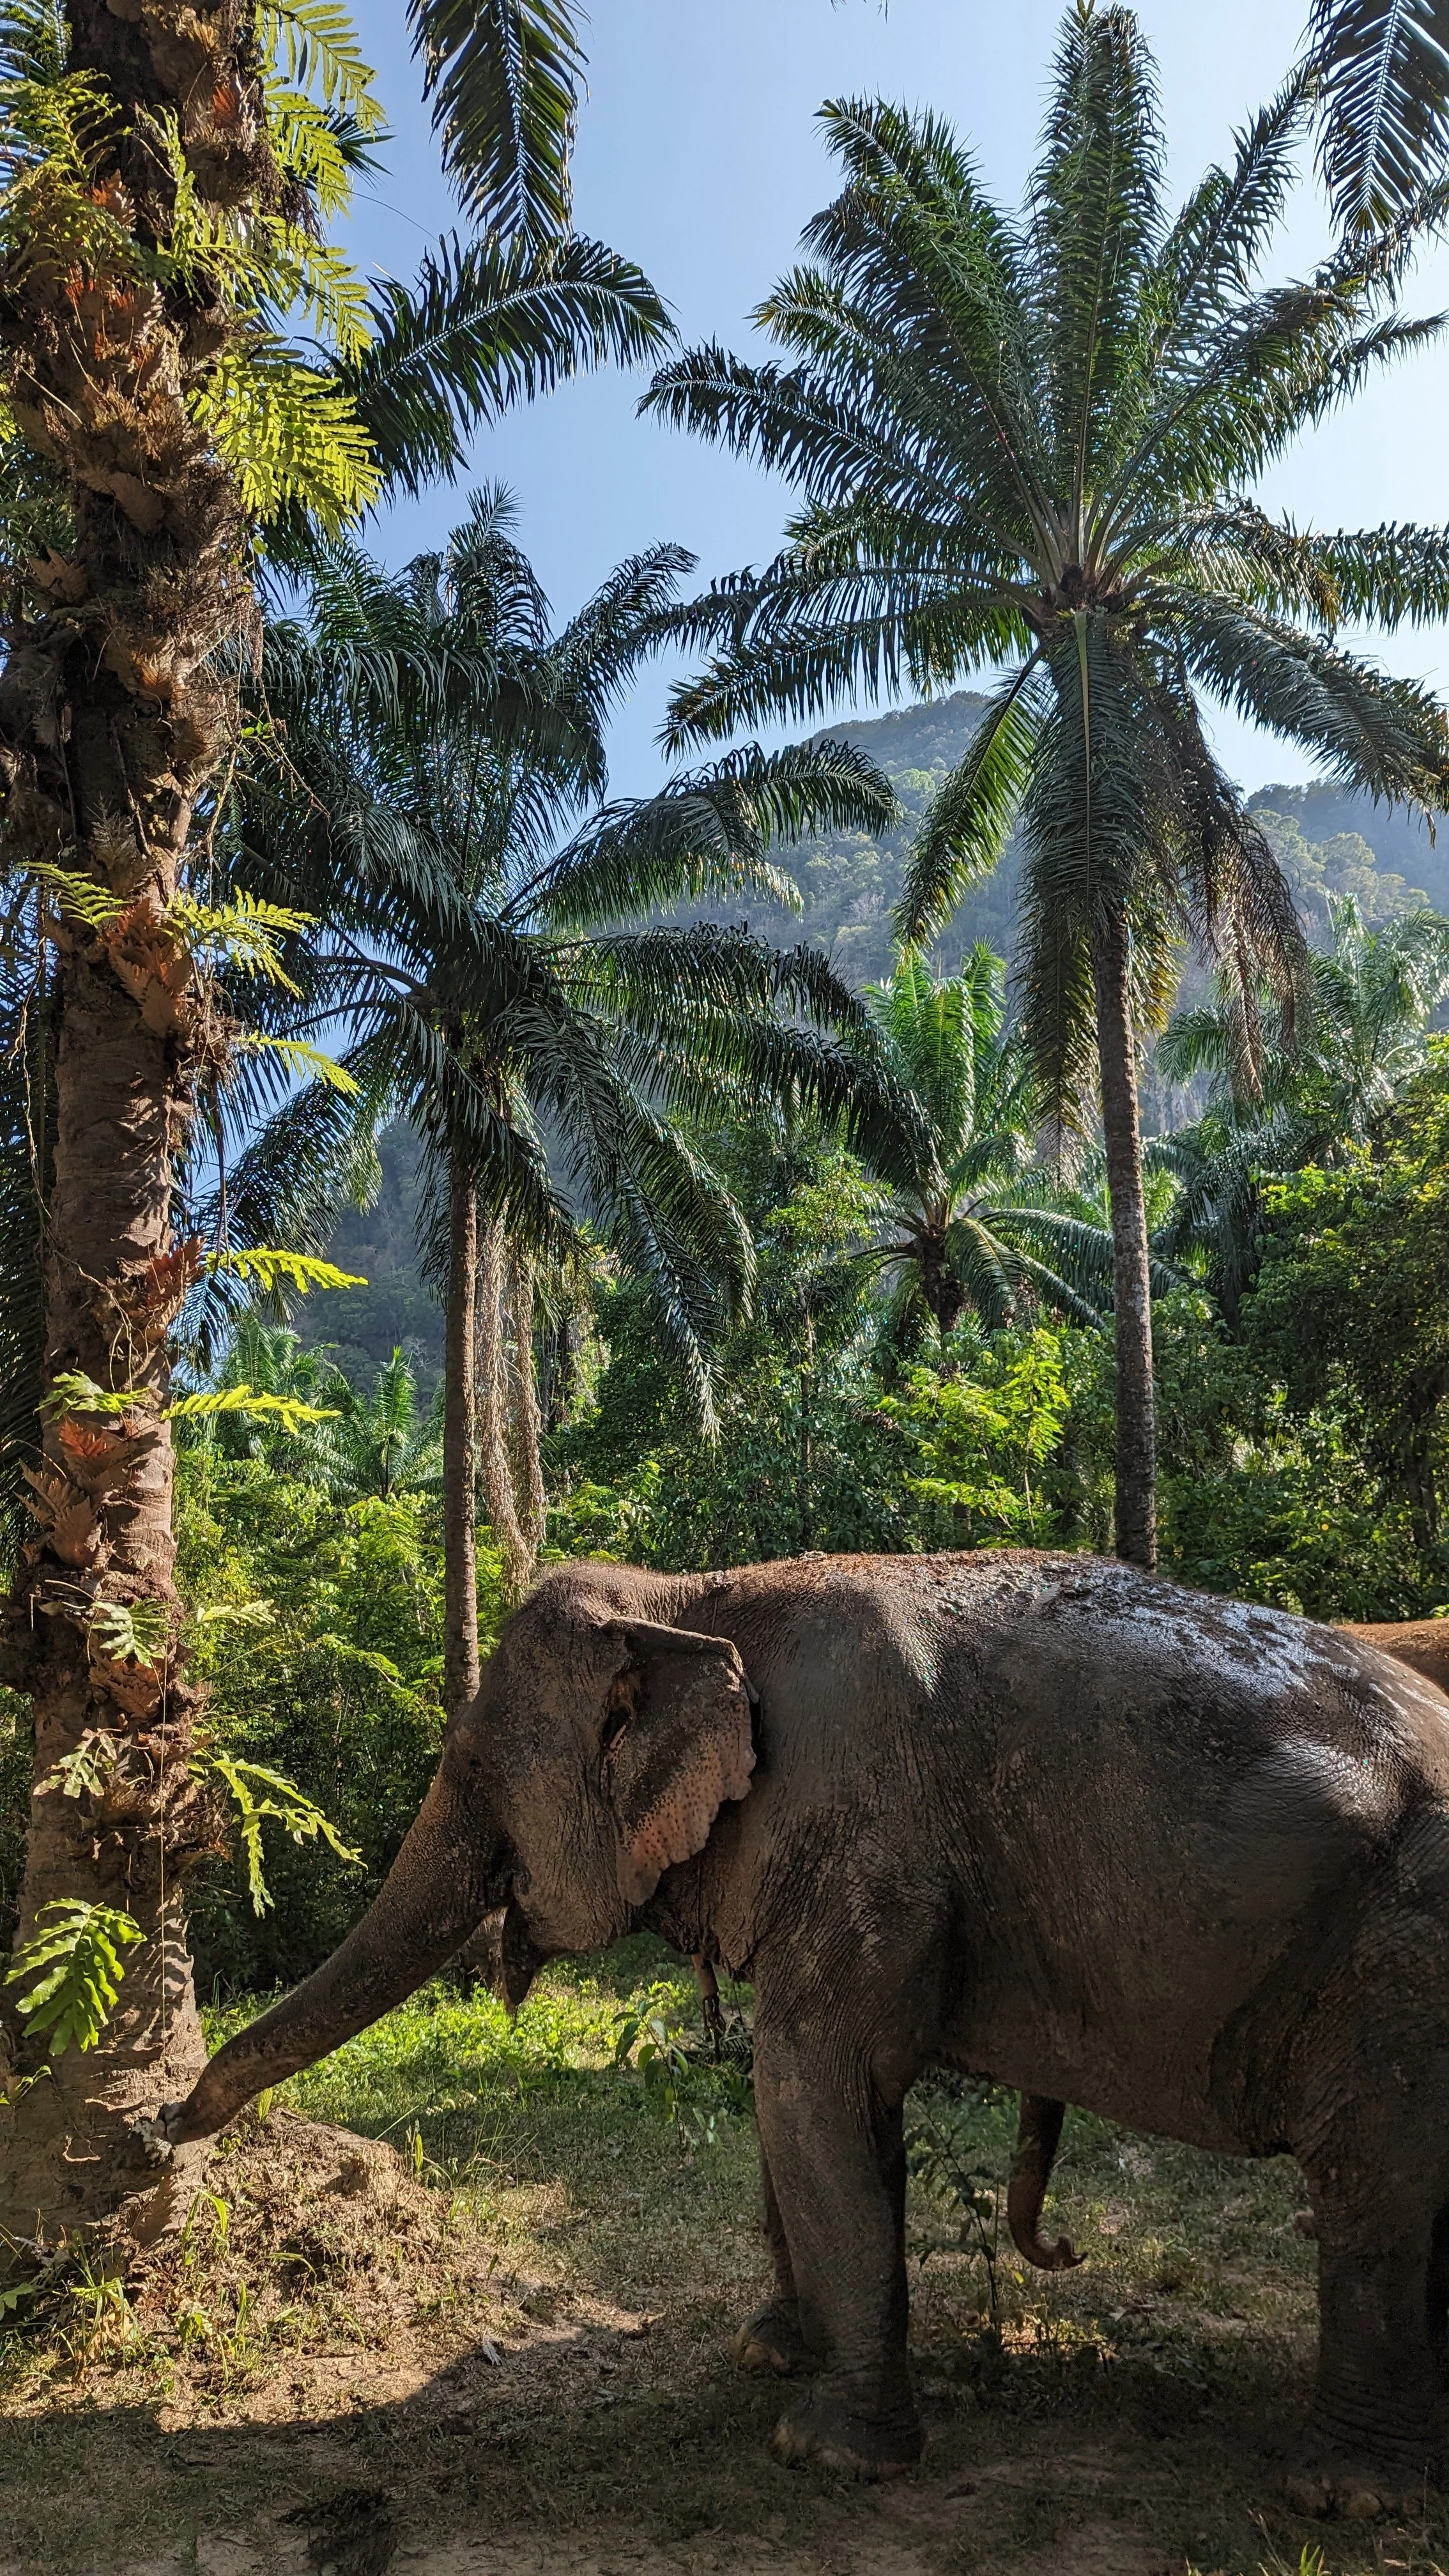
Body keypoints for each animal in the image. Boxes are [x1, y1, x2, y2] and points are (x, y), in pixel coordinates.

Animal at [160, 1550, 1449, 2486]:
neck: (693, 1593)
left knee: (1375, 2184)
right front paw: (772, 2352)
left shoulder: (864, 1840)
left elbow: (805, 2082)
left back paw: (1342, 2491)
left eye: (475, 1770)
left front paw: (824, 2452)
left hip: (1399, 1950)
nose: (168, 2121)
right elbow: (823, 2110)